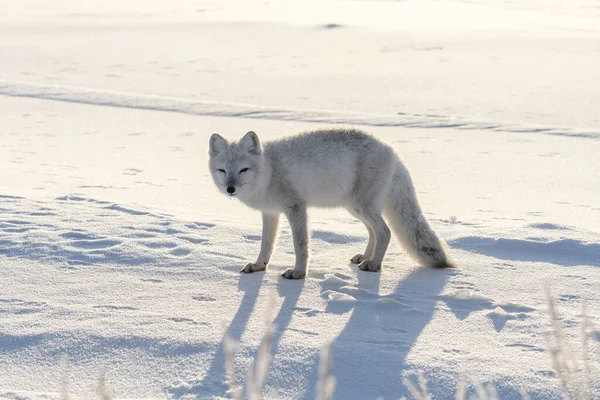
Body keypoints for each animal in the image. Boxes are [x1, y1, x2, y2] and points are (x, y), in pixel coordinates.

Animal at [209, 128, 452, 278]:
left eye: (243, 170)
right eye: (222, 170)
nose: (230, 189)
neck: (268, 170)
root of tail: (392, 151)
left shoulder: (296, 208)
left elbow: (300, 246)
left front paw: (298, 273)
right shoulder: (270, 212)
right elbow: (266, 244)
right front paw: (259, 266)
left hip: (362, 206)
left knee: (385, 231)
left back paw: (374, 264)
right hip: (356, 208)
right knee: (374, 232)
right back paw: (366, 257)